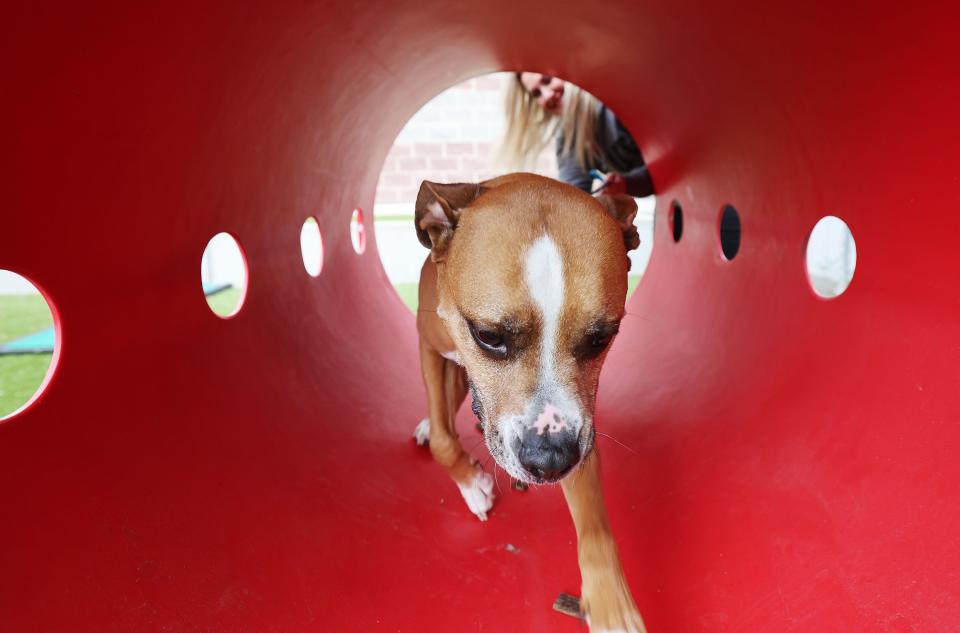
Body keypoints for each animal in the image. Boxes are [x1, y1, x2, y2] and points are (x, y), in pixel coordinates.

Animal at [412, 173, 644, 632]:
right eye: (488, 335)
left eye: (600, 339)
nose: (550, 461)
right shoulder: (430, 346)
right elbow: (445, 439)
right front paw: (472, 483)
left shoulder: (579, 430)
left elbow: (594, 522)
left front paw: (611, 603)